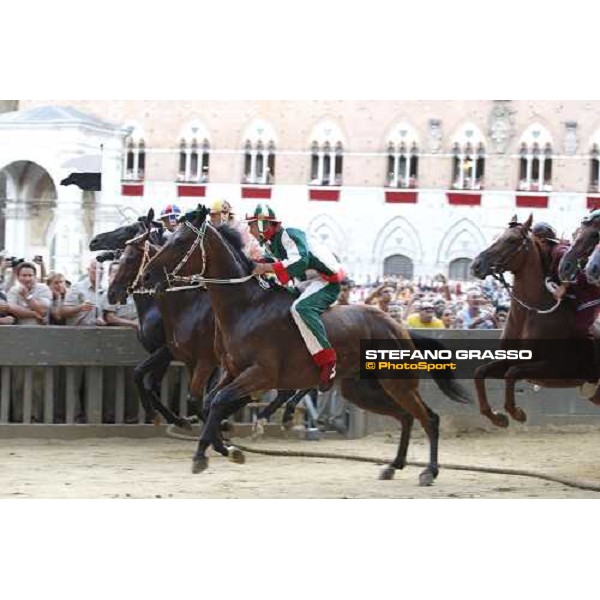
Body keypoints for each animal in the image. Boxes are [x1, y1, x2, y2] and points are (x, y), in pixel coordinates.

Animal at [142, 204, 474, 486]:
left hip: (397, 382)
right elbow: (212, 401)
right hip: (361, 389)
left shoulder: (261, 374)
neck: (246, 306)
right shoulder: (232, 371)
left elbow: (221, 400)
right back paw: (393, 465)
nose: (147, 274)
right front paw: (226, 447)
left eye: (180, 242)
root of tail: (398, 326)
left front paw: (206, 454)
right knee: (405, 416)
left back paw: (430, 471)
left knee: (429, 418)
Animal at [472, 213, 596, 428]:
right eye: (497, 237)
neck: (532, 314)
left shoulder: (552, 367)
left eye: (512, 240)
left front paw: (517, 412)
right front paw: (497, 417)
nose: (476, 265)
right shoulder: (509, 359)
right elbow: (480, 372)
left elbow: (512, 374)